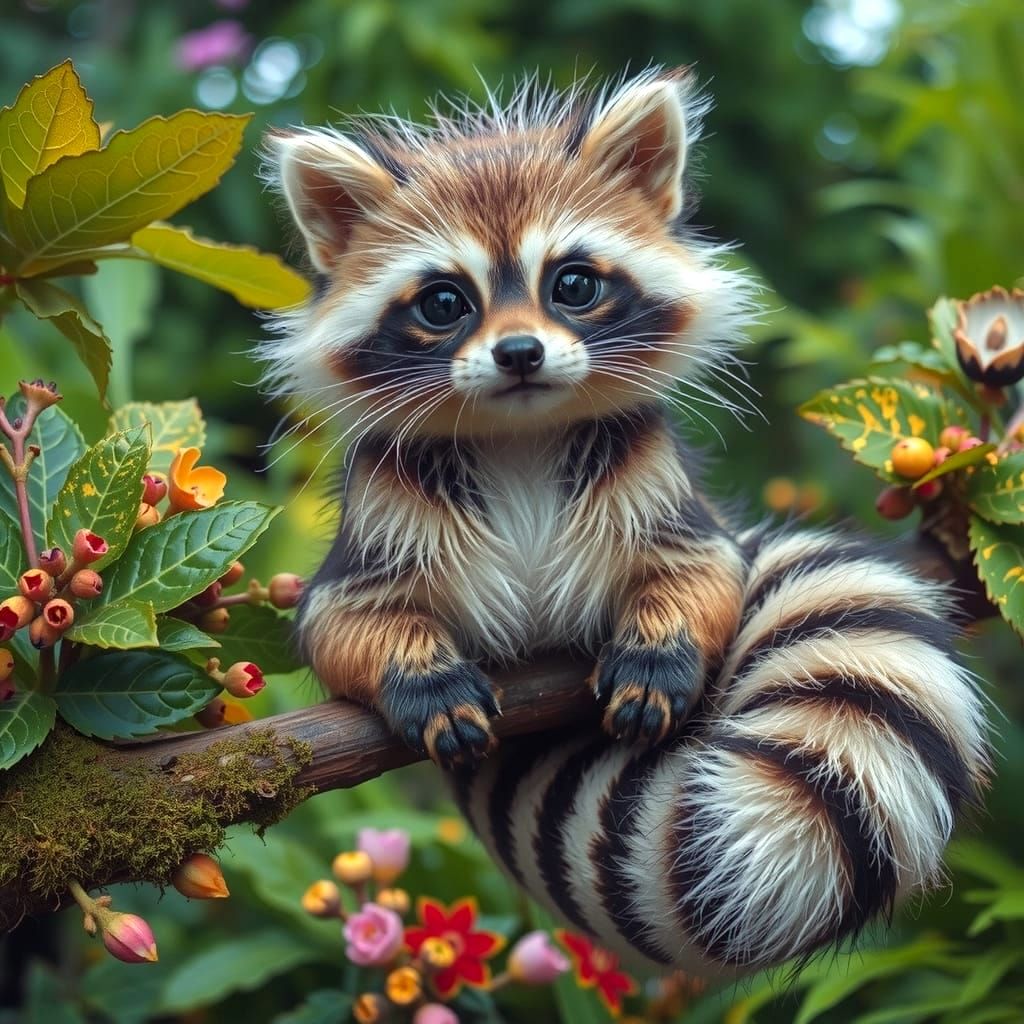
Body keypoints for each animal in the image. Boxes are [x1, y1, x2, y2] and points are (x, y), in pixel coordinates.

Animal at [262, 69, 988, 975]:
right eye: (444, 302)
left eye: (571, 284)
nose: (520, 355)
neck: (521, 434)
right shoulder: (379, 521)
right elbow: (339, 623)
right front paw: (415, 669)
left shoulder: (661, 489)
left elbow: (706, 573)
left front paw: (662, 639)